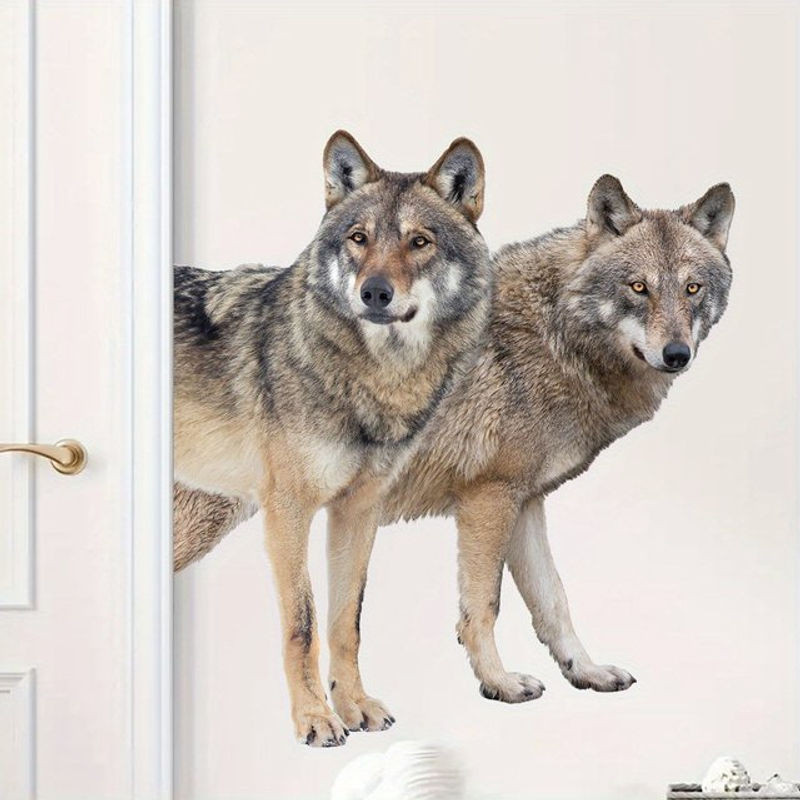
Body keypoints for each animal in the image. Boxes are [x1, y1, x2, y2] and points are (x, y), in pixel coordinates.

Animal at [174, 131, 491, 746]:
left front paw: (355, 706)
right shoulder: (288, 512)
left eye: (419, 242)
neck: (375, 383)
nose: (374, 293)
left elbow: (348, 621)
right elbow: (303, 623)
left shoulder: (358, 512)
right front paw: (314, 719)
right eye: (358, 238)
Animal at [174, 174, 734, 711]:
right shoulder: (487, 498)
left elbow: (553, 601)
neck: (555, 337)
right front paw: (500, 683)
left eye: (692, 288)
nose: (677, 353)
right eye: (638, 287)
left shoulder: (526, 502)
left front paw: (587, 671)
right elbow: (484, 607)